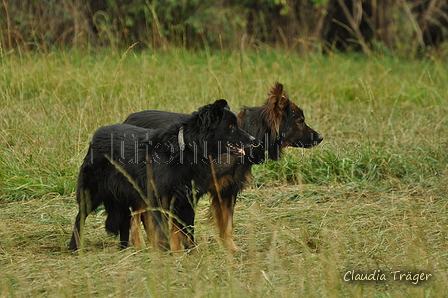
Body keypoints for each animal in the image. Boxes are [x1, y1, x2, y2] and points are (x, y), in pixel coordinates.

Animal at [68, 100, 254, 251]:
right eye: (230, 127)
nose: (253, 140)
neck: (186, 148)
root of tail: (97, 135)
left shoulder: (187, 200)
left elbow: (188, 231)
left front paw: (191, 254)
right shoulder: (162, 200)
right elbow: (164, 232)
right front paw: (167, 255)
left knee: (125, 222)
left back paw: (124, 249)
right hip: (92, 194)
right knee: (79, 218)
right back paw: (74, 247)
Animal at [124, 82, 324, 250]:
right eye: (300, 121)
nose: (321, 137)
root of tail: (127, 120)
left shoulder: (227, 191)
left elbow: (227, 225)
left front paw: (232, 250)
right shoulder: (183, 192)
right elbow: (178, 229)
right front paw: (177, 252)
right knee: (135, 216)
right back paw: (139, 246)